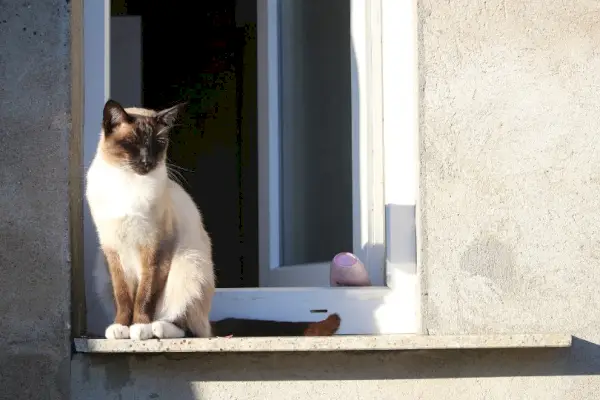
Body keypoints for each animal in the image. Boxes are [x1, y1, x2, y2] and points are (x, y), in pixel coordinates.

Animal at [85, 99, 340, 338]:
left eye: (158, 144)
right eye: (132, 143)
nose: (148, 162)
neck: (128, 183)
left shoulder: (155, 247)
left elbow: (145, 295)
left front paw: (139, 326)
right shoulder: (112, 249)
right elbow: (123, 296)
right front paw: (121, 327)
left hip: (188, 265)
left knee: (190, 327)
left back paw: (156, 328)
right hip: (102, 270)